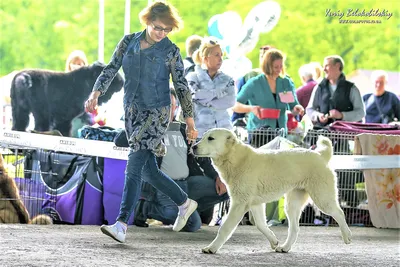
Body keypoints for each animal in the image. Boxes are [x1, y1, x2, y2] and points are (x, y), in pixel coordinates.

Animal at [192, 130, 352, 255]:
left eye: (211, 138)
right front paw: (274, 241)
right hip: (292, 205)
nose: (193, 146)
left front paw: (211, 248)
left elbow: (224, 229)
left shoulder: (239, 204)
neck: (236, 158)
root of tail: (320, 156)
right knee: (295, 229)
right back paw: (285, 247)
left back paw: (347, 236)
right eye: (203, 136)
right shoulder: (255, 204)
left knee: (339, 213)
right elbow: (261, 225)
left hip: (322, 198)